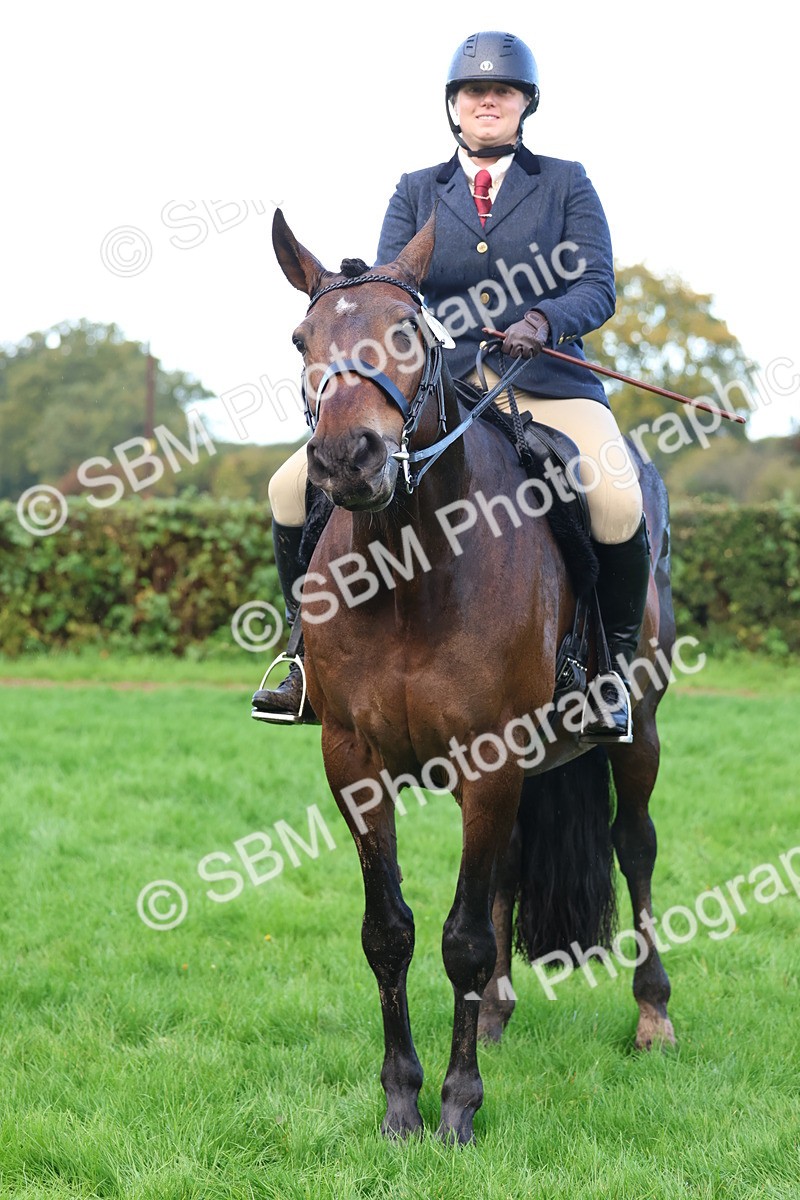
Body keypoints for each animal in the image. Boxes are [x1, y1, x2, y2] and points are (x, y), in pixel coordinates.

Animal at [270, 206, 676, 1144]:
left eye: (410, 332)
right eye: (303, 339)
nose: (346, 459)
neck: (411, 571)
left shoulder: (490, 754)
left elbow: (463, 936)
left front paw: (457, 1106)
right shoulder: (353, 760)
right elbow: (389, 932)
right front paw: (400, 1101)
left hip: (635, 729)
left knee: (633, 845)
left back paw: (653, 1016)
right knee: (512, 868)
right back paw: (492, 1013)